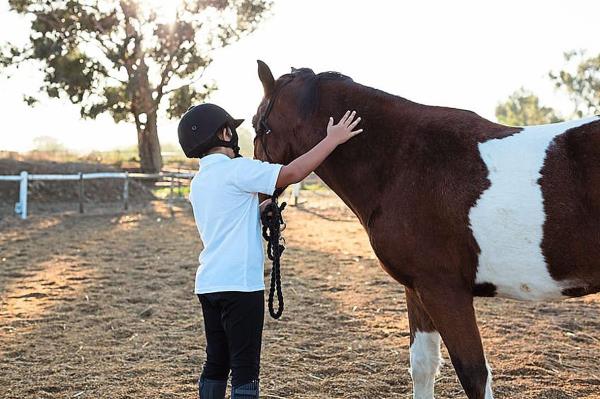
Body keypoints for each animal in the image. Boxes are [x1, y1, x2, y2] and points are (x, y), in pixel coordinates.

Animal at [250, 60, 600, 399]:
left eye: (256, 125)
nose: (261, 203)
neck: (403, 161)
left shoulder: (444, 291)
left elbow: (473, 375)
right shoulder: (417, 289)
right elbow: (423, 366)